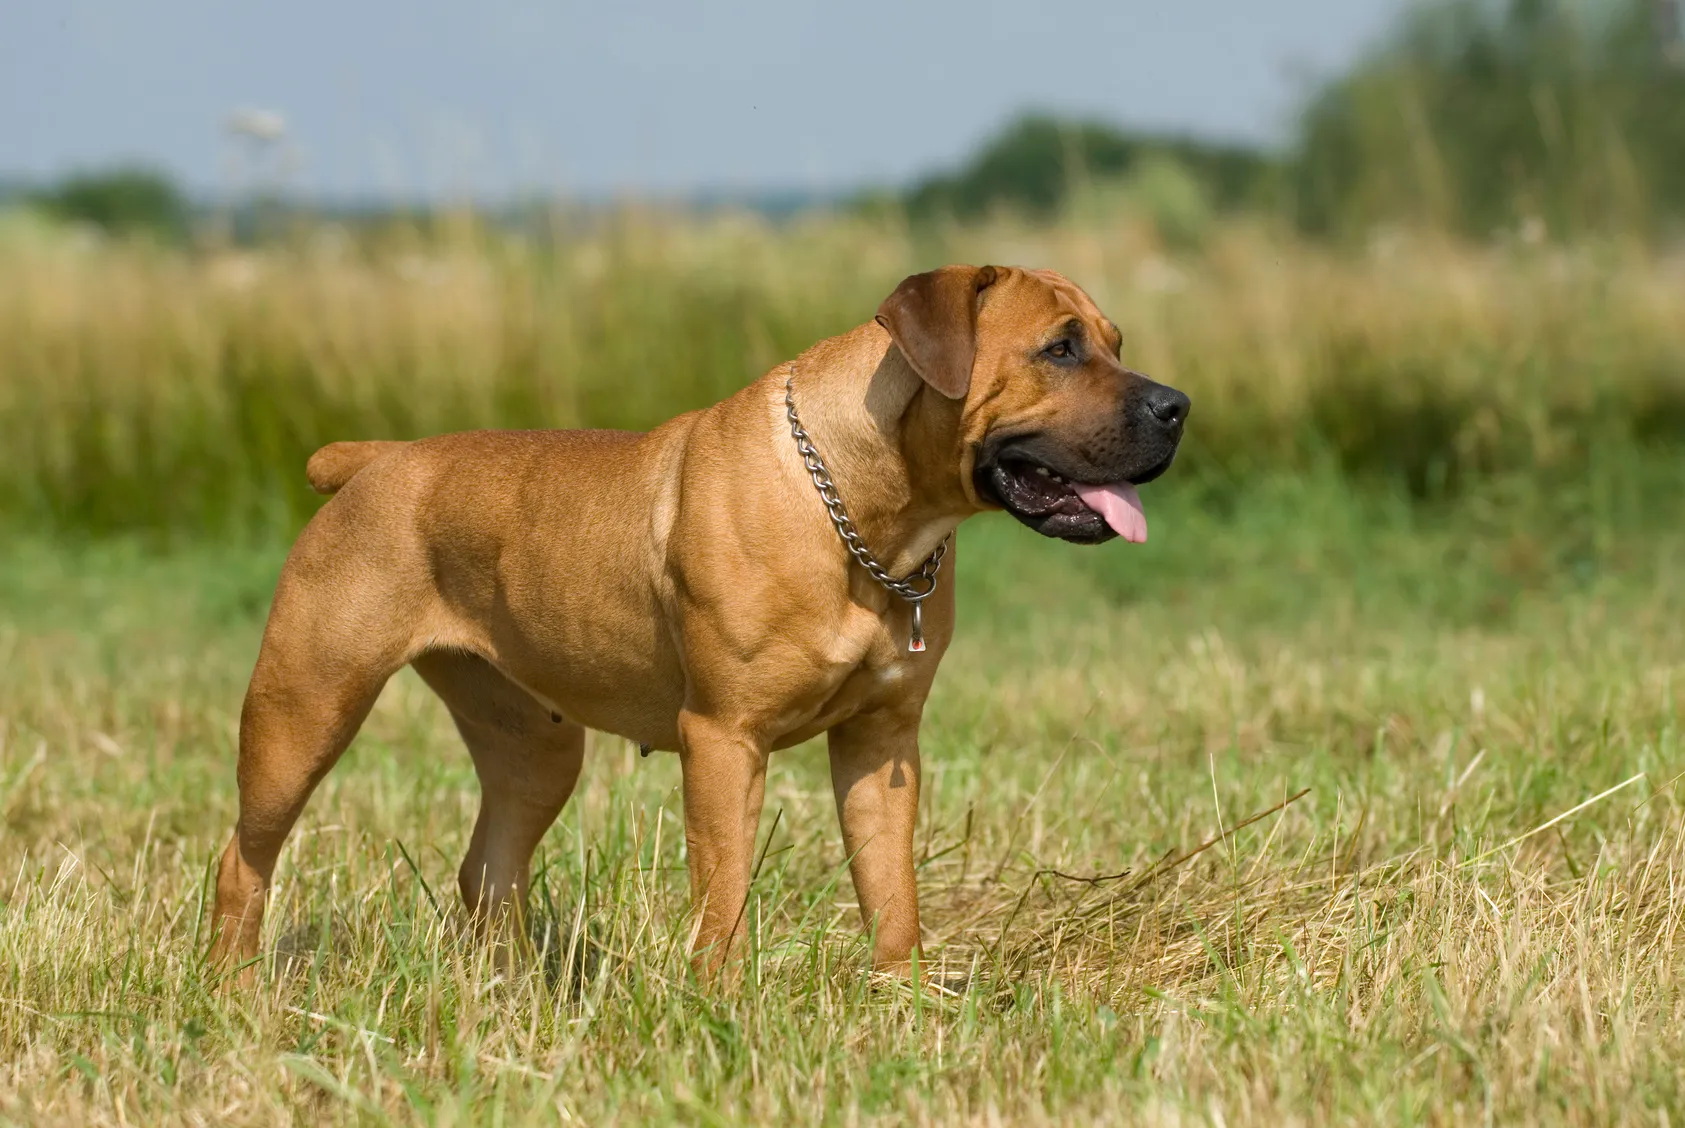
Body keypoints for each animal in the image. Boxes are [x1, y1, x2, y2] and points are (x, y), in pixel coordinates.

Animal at [207, 264, 1186, 977]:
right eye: (1058, 349)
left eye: (1114, 343)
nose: (1177, 406)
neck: (863, 511)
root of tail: (375, 461)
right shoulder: (722, 737)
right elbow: (722, 891)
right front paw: (719, 1002)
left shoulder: (882, 743)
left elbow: (890, 886)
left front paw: (902, 993)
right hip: (304, 709)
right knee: (244, 858)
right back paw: (232, 988)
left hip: (533, 746)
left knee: (488, 868)